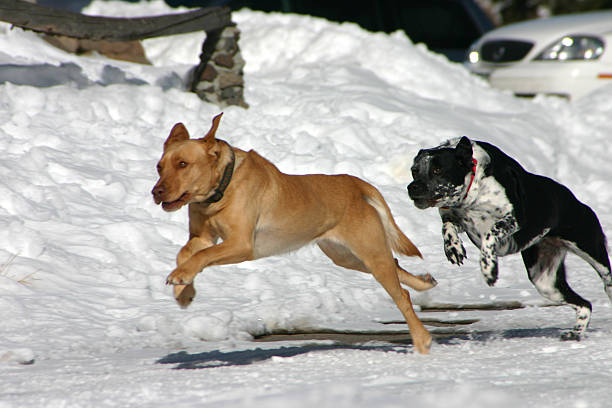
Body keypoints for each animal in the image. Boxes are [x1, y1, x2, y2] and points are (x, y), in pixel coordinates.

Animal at [154, 112, 440, 354]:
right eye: (159, 166)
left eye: (182, 164)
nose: (156, 192)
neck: (220, 190)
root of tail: (354, 184)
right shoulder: (202, 238)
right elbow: (185, 254)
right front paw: (184, 291)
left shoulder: (241, 244)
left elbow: (201, 257)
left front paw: (181, 278)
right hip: (347, 256)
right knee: (397, 267)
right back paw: (424, 283)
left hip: (369, 251)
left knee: (401, 295)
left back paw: (421, 339)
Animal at [406, 135, 612, 340]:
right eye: (414, 170)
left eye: (437, 169)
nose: (412, 187)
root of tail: (578, 202)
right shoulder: (455, 217)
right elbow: (447, 227)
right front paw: (453, 248)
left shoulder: (514, 218)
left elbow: (490, 234)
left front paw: (489, 269)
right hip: (545, 282)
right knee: (585, 304)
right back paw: (575, 332)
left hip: (591, 250)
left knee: (606, 281)